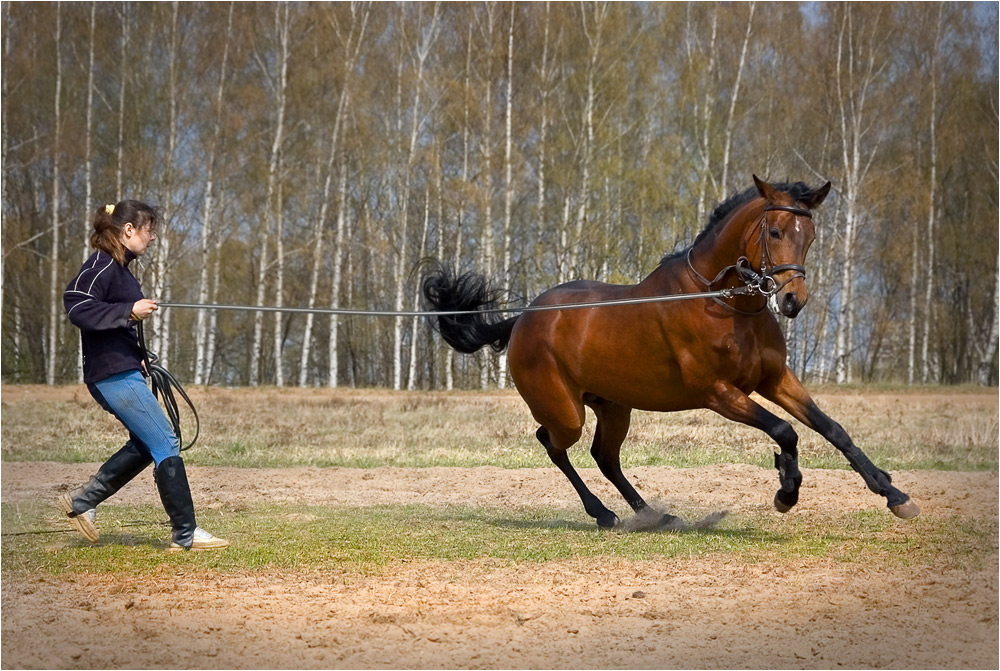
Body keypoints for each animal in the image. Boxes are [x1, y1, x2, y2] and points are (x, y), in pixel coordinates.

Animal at [420, 177, 920, 532]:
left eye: (810, 236)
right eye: (775, 231)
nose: (794, 300)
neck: (724, 302)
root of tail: (522, 319)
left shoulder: (774, 380)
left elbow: (833, 430)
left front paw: (894, 494)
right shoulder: (718, 393)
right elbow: (786, 432)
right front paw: (786, 491)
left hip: (614, 406)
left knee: (605, 456)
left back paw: (653, 515)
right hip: (566, 410)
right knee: (554, 444)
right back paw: (603, 514)